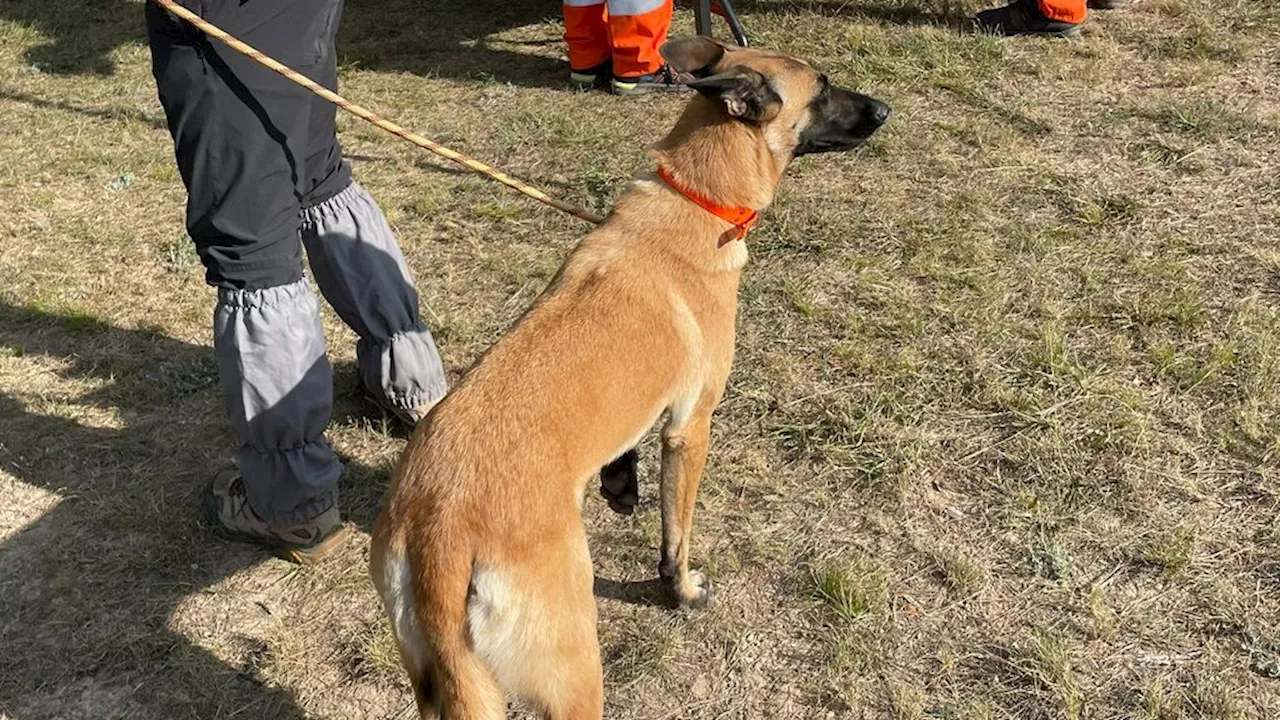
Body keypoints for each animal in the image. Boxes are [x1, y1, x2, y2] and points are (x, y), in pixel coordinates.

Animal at [371, 37, 890, 717]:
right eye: (823, 87)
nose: (884, 110)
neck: (694, 197)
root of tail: (439, 535)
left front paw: (621, 486)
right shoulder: (690, 429)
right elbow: (677, 535)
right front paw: (683, 591)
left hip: (434, 682)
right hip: (573, 671)